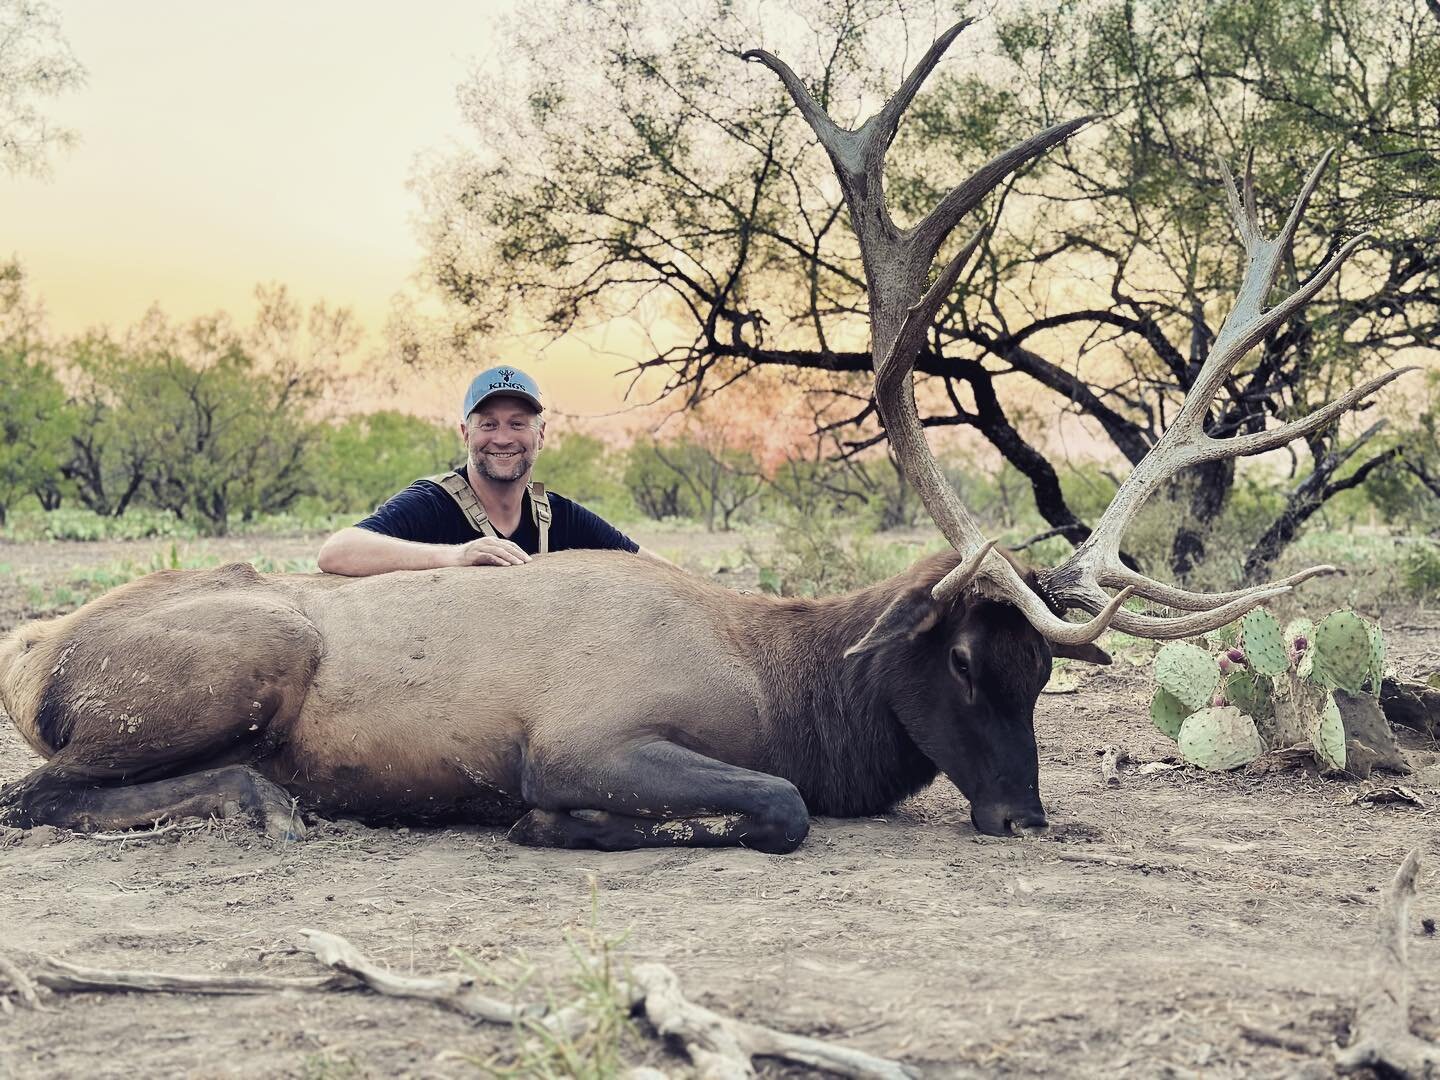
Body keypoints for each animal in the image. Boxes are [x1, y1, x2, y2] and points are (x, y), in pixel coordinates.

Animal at [0, 19, 1405, 852]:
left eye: (1044, 675)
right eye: (961, 662)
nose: (1022, 815)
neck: (792, 692)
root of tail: (36, 659)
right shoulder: (587, 733)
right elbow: (771, 807)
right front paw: (576, 826)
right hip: (228, 672)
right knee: (40, 794)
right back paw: (263, 800)